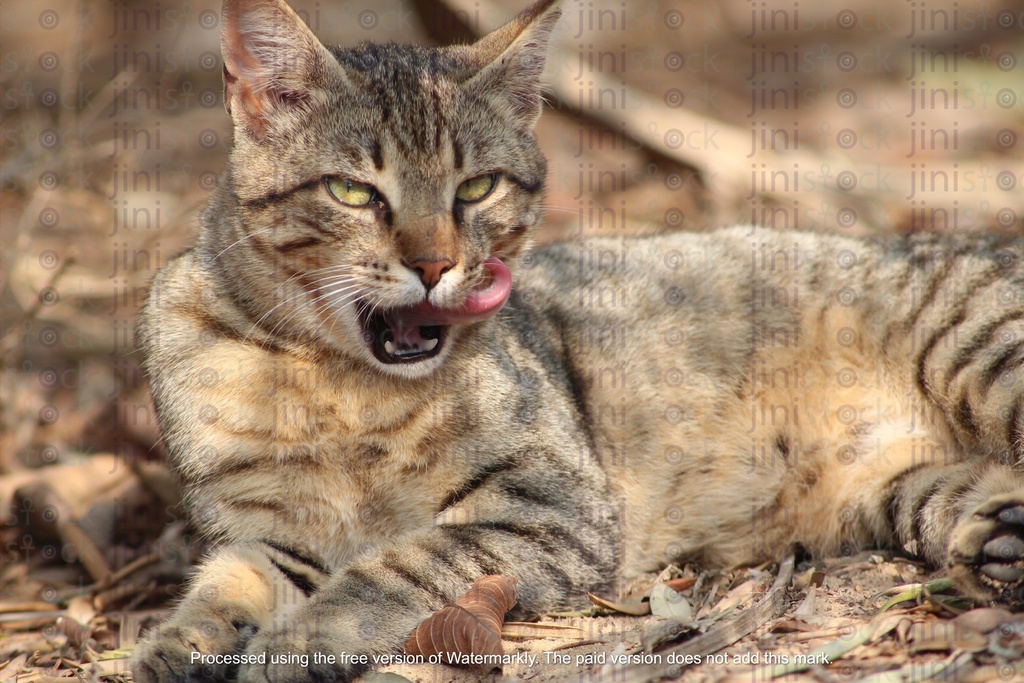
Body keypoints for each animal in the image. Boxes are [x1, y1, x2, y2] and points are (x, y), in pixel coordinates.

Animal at [132, 1, 1024, 683]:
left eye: (476, 188)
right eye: (354, 192)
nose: (434, 264)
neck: (331, 385)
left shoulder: (551, 507)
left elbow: (393, 567)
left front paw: (299, 640)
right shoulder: (267, 532)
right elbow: (225, 584)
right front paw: (178, 644)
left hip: (980, 352)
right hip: (916, 490)